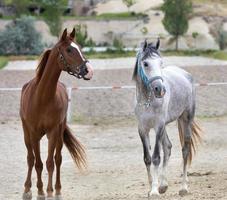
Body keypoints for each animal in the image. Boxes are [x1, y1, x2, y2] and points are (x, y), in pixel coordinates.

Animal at [20, 28, 93, 200]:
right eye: (69, 50)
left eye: (79, 47)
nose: (88, 71)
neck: (42, 97)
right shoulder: (33, 134)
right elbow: (38, 163)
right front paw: (39, 191)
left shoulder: (53, 132)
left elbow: (50, 163)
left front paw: (49, 191)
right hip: (27, 134)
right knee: (30, 159)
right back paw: (27, 189)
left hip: (59, 133)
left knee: (57, 159)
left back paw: (57, 190)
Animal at [132, 39, 201, 197]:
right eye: (146, 63)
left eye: (161, 63)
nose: (160, 90)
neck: (147, 100)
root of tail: (185, 74)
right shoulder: (142, 129)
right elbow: (147, 158)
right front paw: (152, 187)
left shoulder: (158, 126)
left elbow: (156, 157)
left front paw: (154, 191)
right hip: (165, 126)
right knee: (168, 147)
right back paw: (163, 185)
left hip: (185, 119)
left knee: (185, 149)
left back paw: (183, 188)